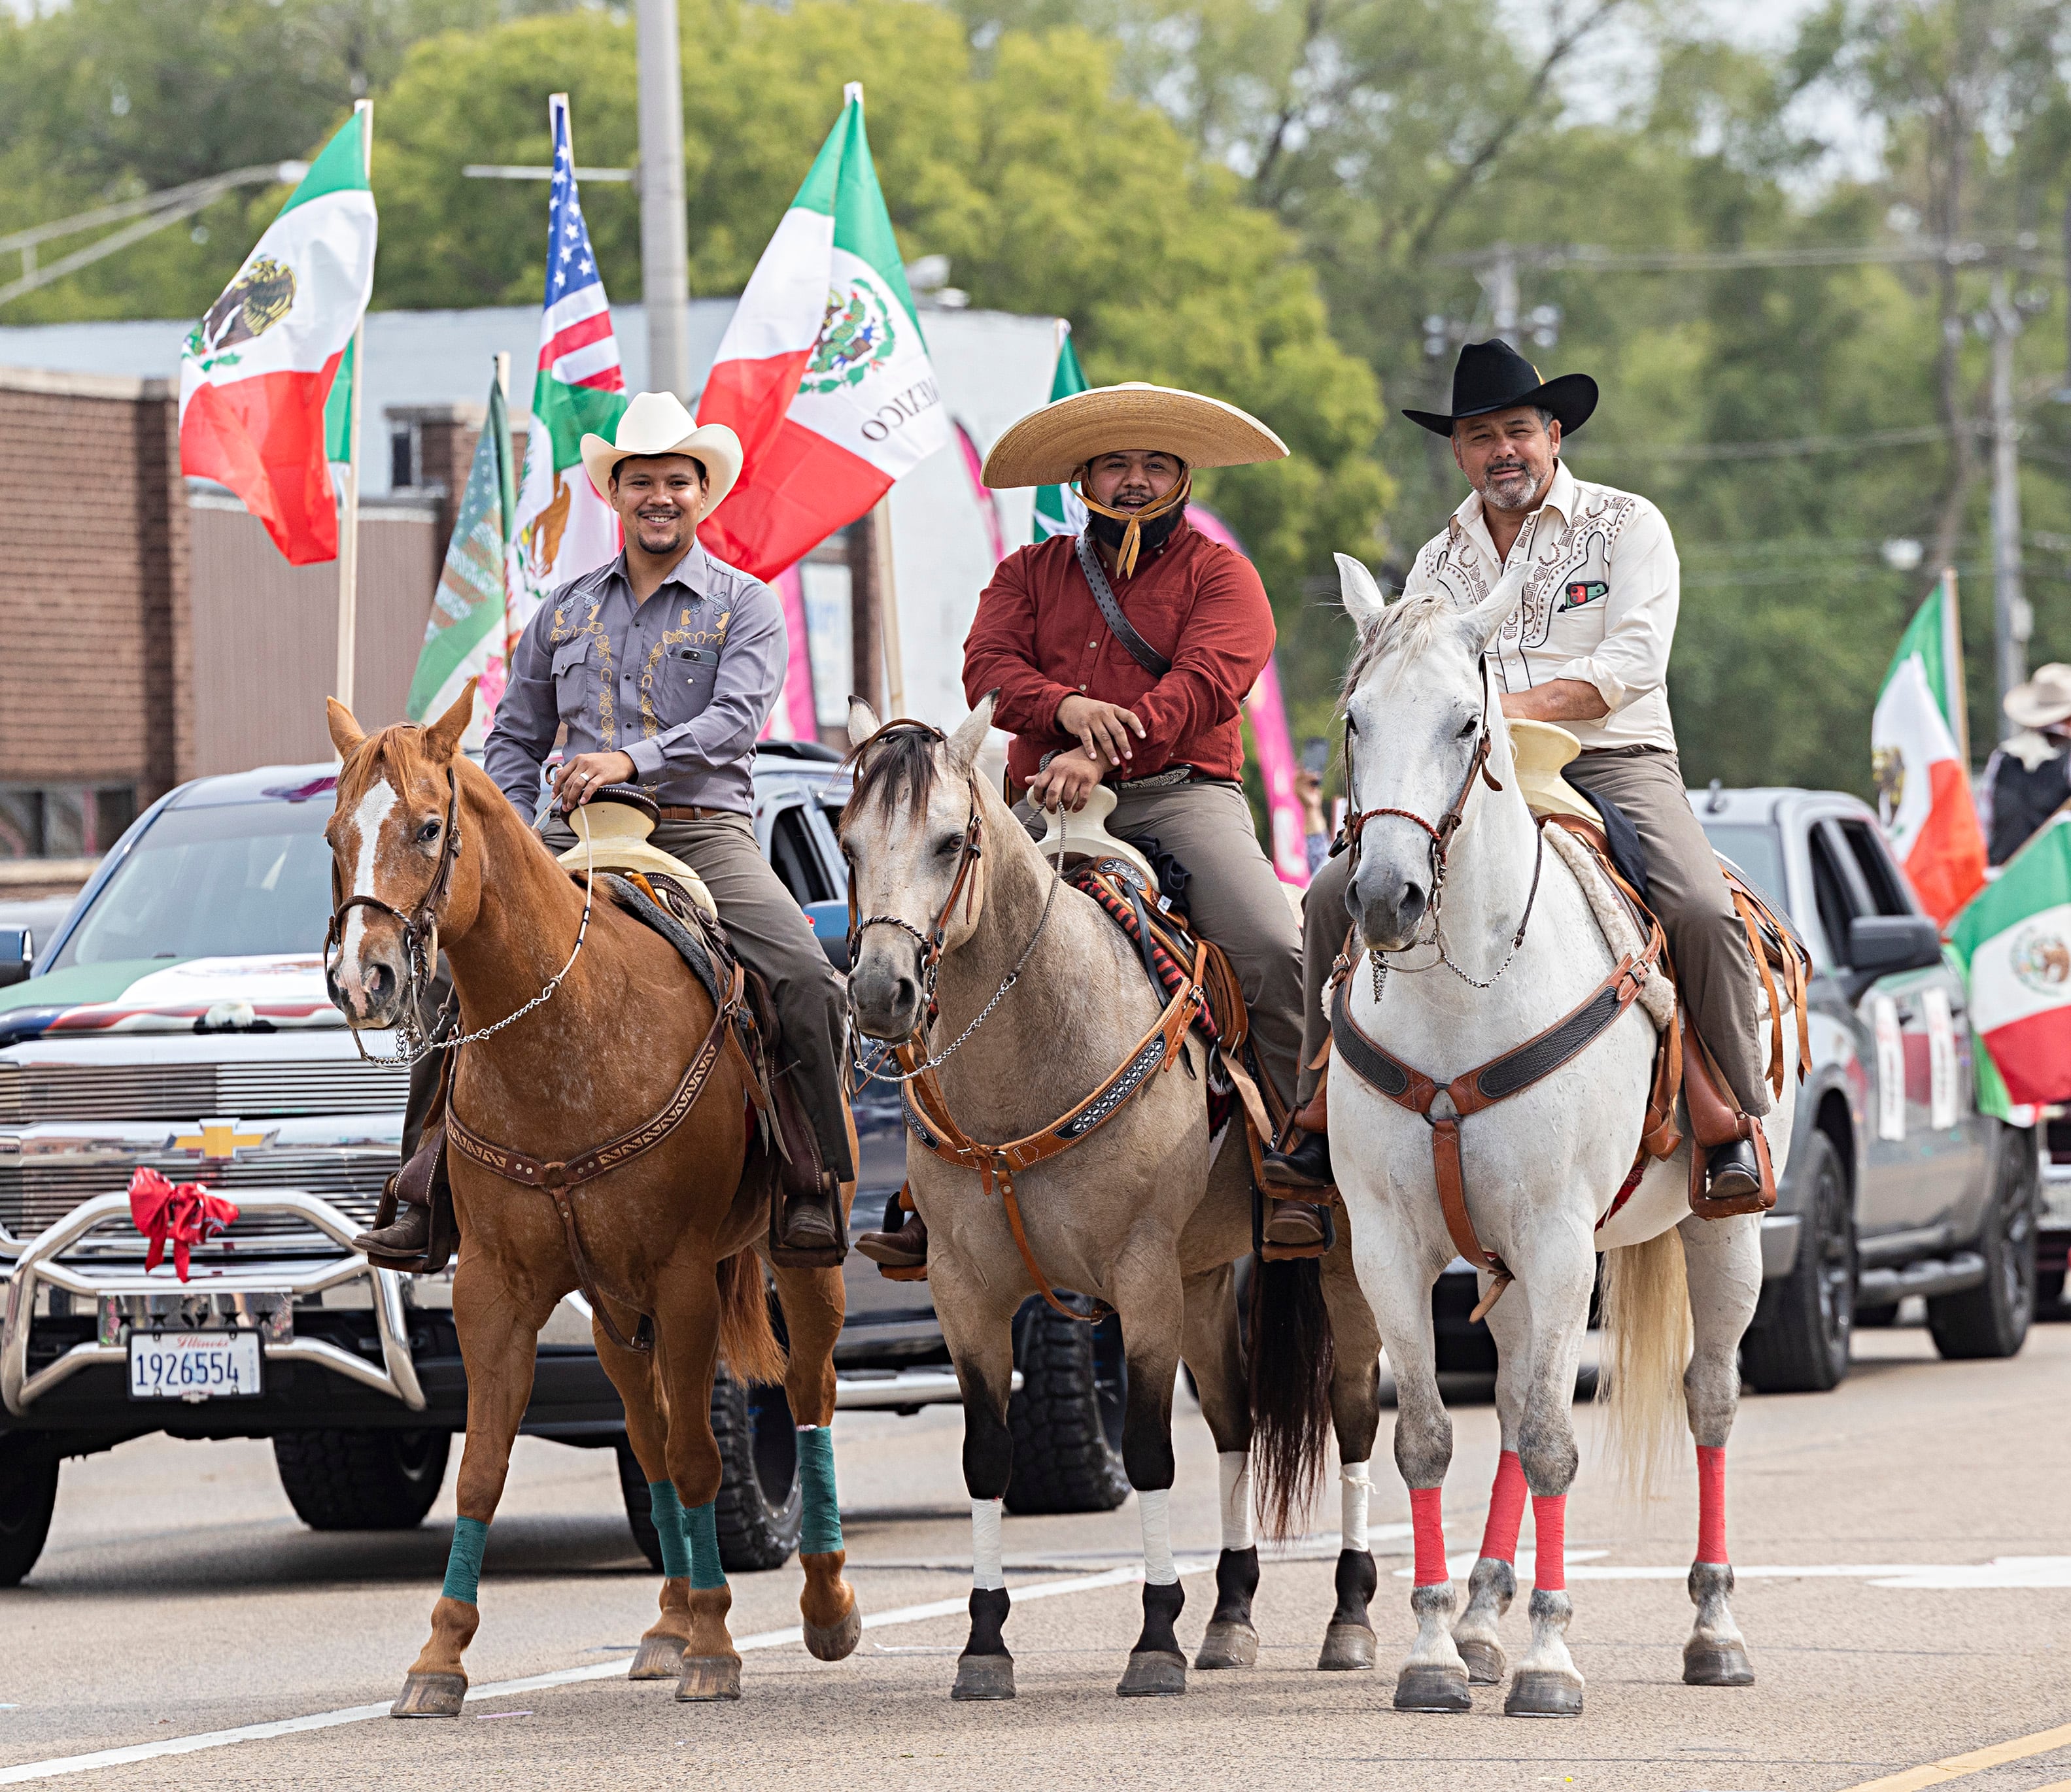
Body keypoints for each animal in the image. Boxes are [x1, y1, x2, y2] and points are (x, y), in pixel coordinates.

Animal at [318, 683, 853, 1707]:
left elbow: (700, 1456)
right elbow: (486, 1469)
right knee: (646, 1431)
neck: (567, 1031)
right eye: (334, 834)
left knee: (808, 1394)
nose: (362, 978)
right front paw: (439, 1657)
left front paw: (719, 1647)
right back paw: (668, 1622)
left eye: (430, 825)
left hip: (798, 1266)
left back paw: (824, 1603)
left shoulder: (682, 1279)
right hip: (614, 1310)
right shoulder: (495, 1288)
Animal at [840, 696, 1392, 1690]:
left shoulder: (1138, 1282)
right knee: (1233, 1420)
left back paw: (1348, 1618)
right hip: (1205, 1278)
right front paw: (984, 1643)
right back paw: (1231, 1616)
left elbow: (1146, 1451)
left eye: (949, 841)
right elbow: (986, 1457)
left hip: (1336, 1265)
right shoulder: (963, 1295)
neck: (1034, 1049)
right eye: (848, 841)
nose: (880, 991)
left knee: (1355, 1416)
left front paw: (1154, 1636)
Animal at [1325, 555, 1797, 1723]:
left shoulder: (1555, 1239)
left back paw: (1713, 1629)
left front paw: (1548, 1658)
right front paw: (1436, 1653)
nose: (1386, 896)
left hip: (1722, 1234)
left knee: (1708, 1399)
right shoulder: (1390, 1247)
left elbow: (1549, 1440)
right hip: (1499, 1265)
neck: (1459, 1000)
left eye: (1464, 722)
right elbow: (1431, 1436)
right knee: (1500, 1395)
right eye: (1354, 719)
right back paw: (1480, 1620)